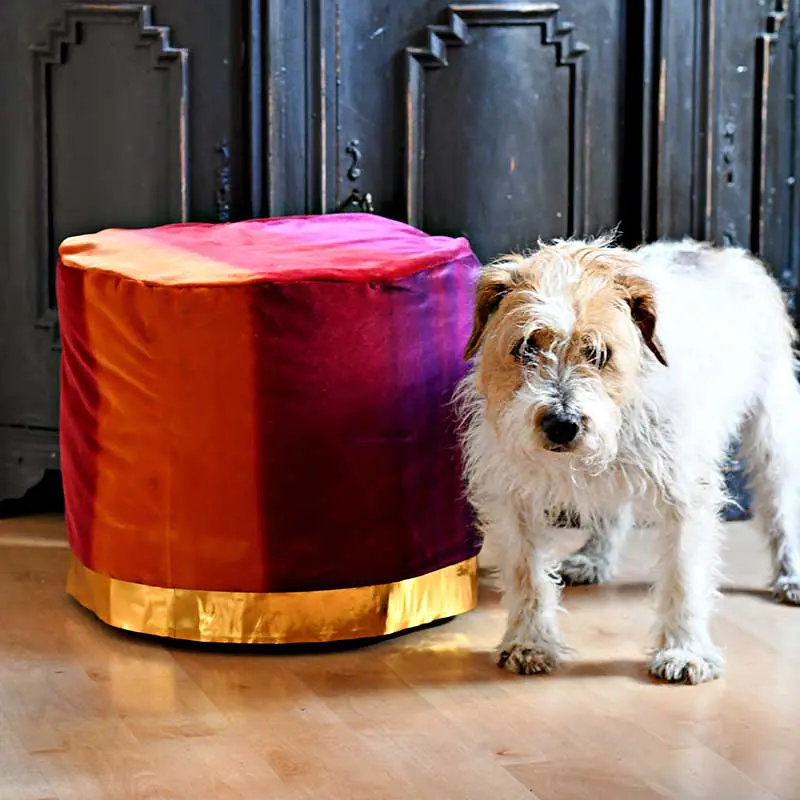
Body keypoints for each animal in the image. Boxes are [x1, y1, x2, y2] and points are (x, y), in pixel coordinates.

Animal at [454, 234, 800, 684]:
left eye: (599, 353)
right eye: (528, 347)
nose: (562, 424)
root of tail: (714, 249)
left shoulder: (684, 496)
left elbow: (683, 576)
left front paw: (685, 651)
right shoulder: (516, 500)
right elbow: (527, 574)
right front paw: (531, 641)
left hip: (773, 433)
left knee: (782, 506)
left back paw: (791, 573)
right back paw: (594, 557)